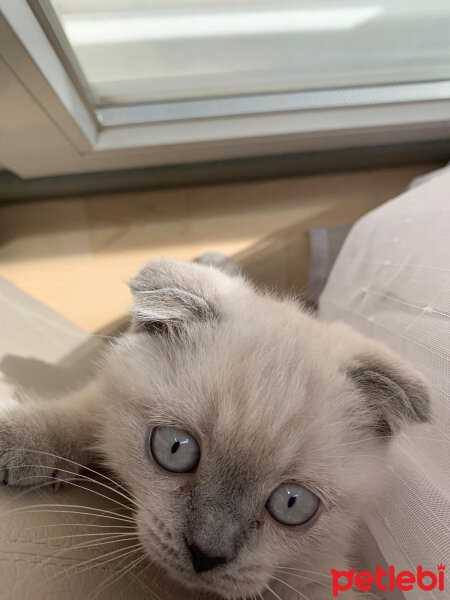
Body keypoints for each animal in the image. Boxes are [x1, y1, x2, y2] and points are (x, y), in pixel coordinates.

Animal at [0, 258, 428, 600]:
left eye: (292, 503)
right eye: (175, 449)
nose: (205, 555)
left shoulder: (320, 575)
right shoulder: (105, 394)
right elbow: (84, 411)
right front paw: (18, 436)